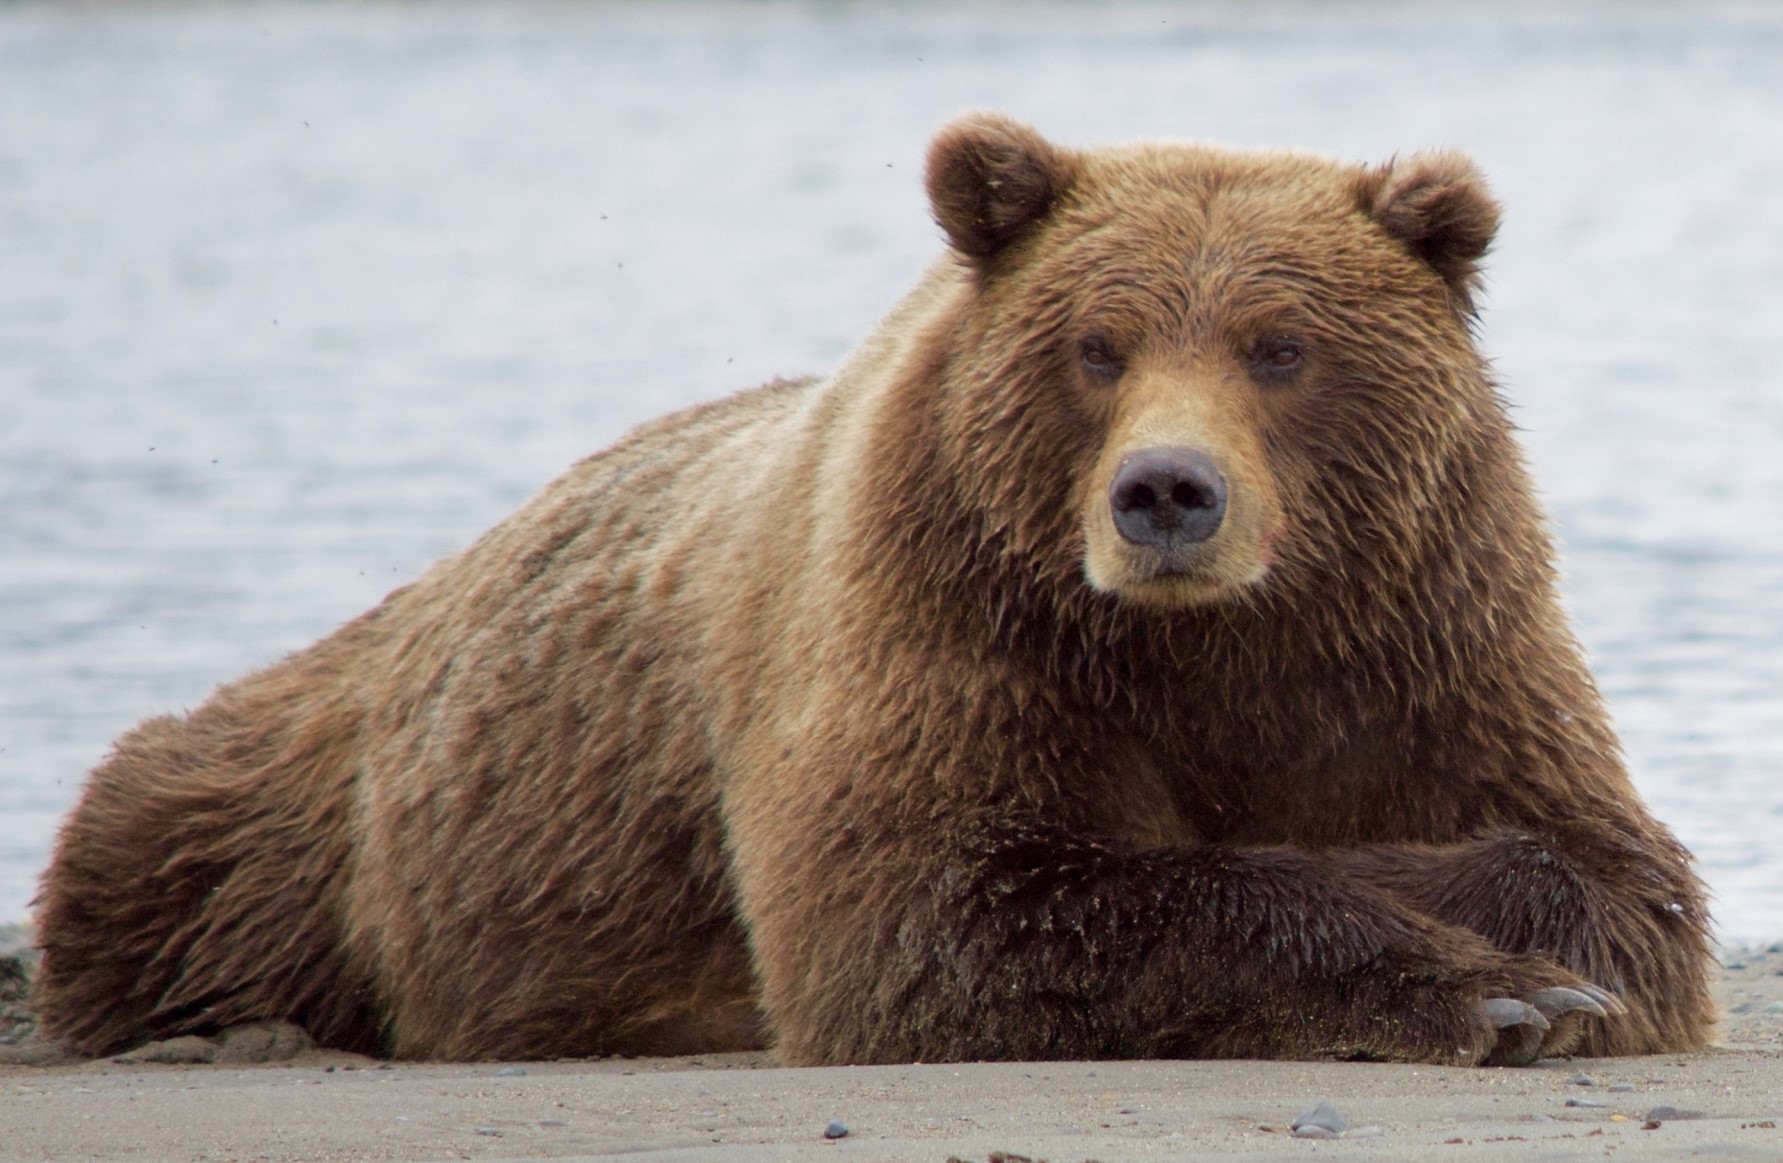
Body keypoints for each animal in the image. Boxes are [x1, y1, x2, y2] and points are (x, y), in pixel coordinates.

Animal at [34, 113, 1712, 1067]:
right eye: (1097, 343)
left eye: (1277, 346)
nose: (1166, 492)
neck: (1207, 644)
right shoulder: (945, 621)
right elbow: (938, 905)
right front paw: (1491, 992)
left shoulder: (1424, 633)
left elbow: (1607, 867)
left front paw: (1519, 950)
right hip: (303, 808)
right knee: (164, 843)